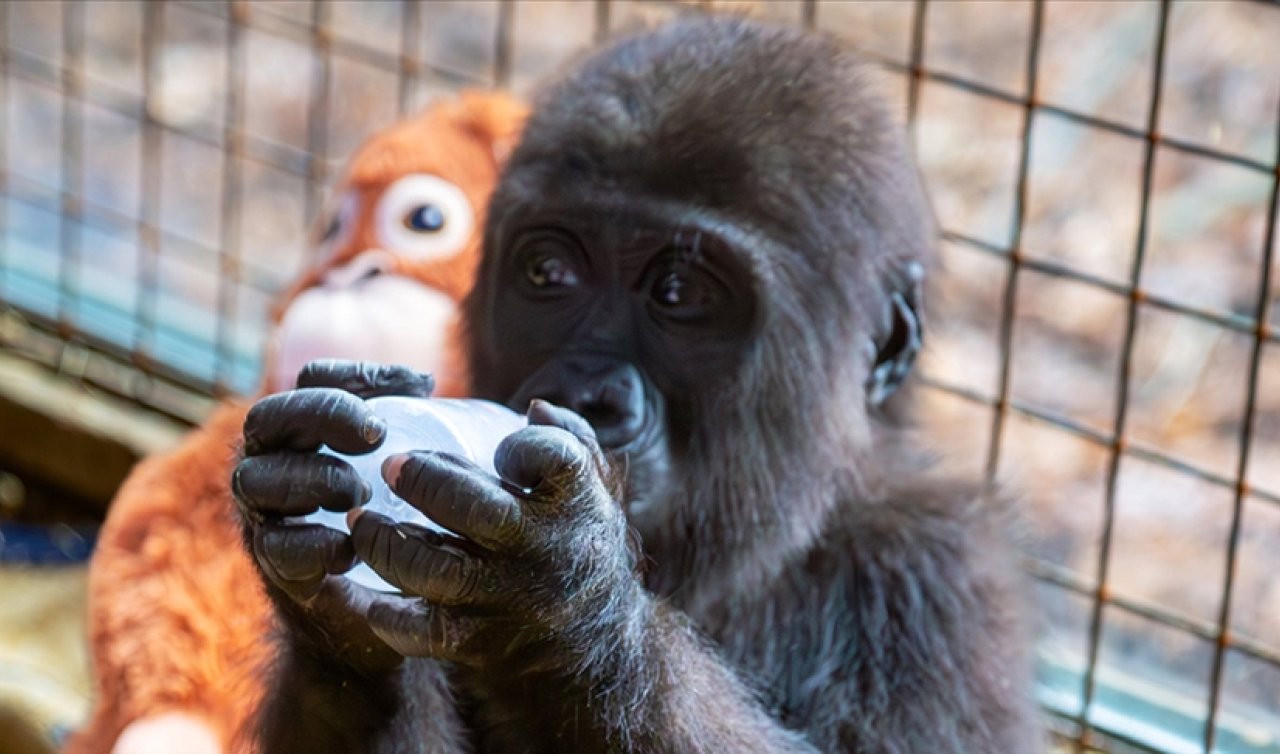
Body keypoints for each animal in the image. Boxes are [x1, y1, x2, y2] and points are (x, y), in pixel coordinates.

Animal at [235, 13, 1044, 752]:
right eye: (549, 273)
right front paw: (327, 620)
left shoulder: (937, 580)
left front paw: (565, 606)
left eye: (679, 293)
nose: (587, 393)